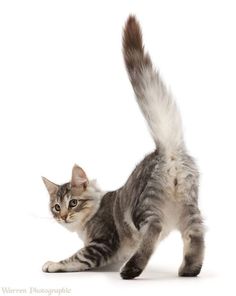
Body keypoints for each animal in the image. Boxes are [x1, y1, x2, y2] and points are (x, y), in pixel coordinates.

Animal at [41, 15, 204, 280]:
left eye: (73, 203)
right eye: (56, 207)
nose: (63, 216)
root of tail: (166, 149)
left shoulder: (102, 243)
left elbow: (76, 258)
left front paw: (54, 263)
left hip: (142, 207)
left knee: (153, 229)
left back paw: (131, 269)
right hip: (188, 206)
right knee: (196, 232)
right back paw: (190, 268)